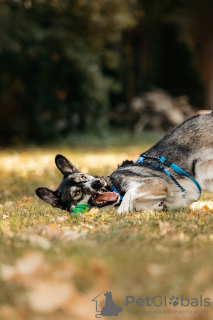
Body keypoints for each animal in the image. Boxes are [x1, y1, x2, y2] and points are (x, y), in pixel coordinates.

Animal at [35, 112, 213, 212]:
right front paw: (155, 208)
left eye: (84, 177)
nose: (97, 183)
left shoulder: (156, 183)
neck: (114, 189)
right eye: (76, 193)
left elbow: (128, 196)